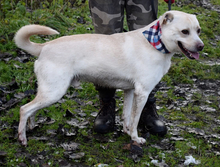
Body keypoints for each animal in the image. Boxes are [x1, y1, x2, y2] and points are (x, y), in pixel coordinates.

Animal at [14, 10, 204, 146]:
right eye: (184, 32)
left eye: (198, 30)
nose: (201, 46)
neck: (155, 42)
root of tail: (44, 46)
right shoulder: (142, 92)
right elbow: (135, 119)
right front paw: (135, 139)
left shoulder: (130, 91)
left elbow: (127, 116)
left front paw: (127, 132)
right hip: (54, 92)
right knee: (24, 109)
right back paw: (22, 138)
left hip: (47, 92)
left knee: (32, 110)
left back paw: (31, 127)